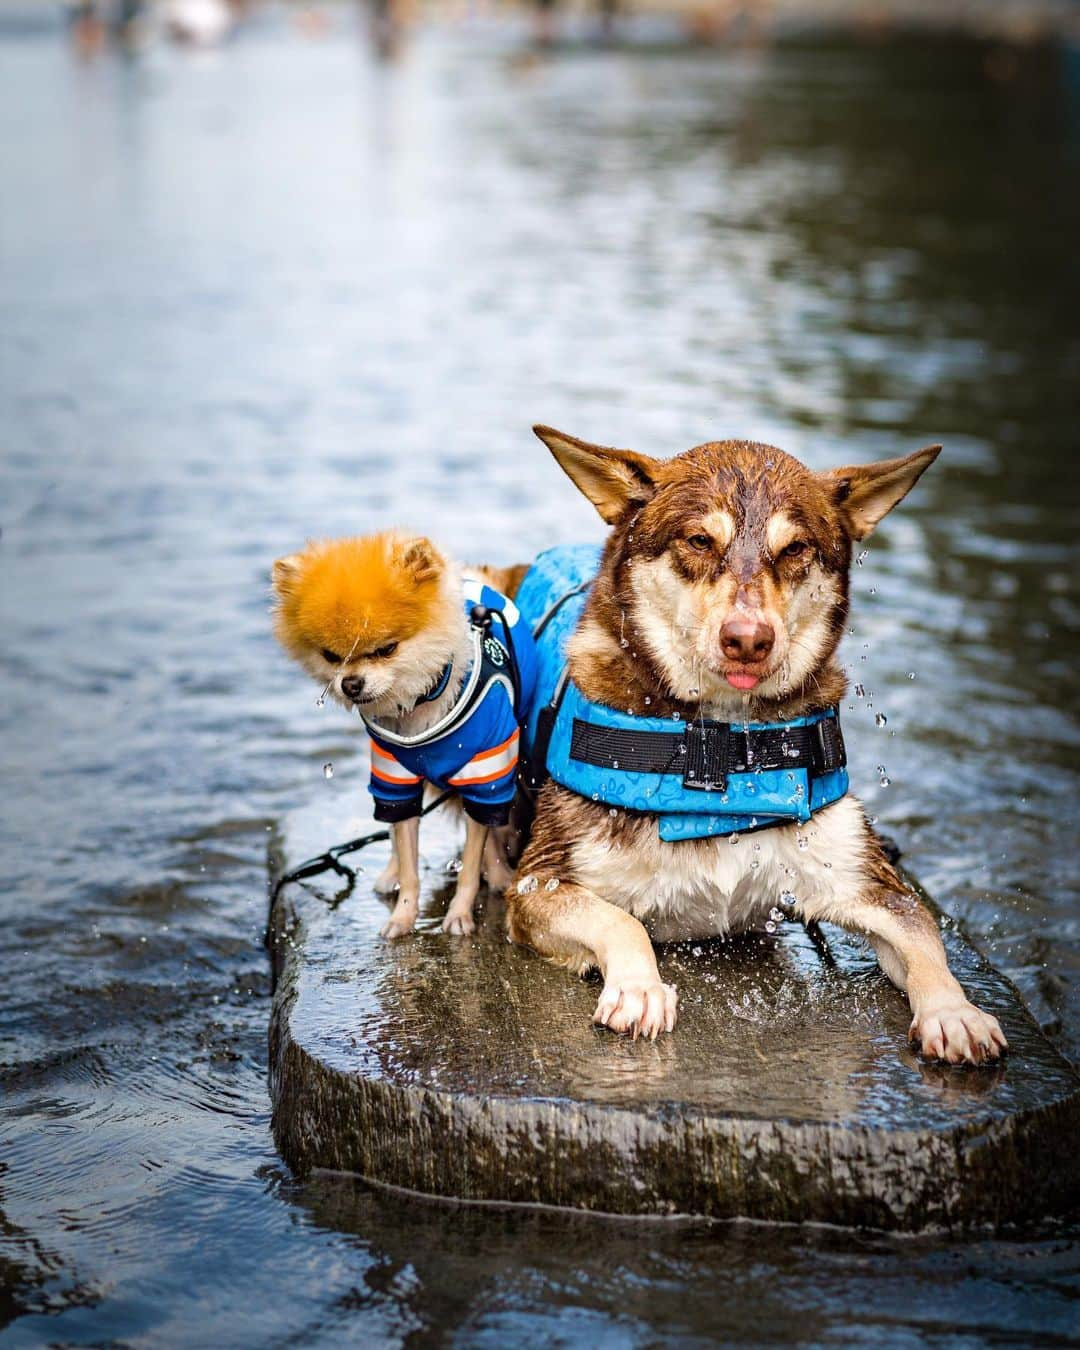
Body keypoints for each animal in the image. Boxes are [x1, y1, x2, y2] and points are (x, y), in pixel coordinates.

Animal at [510, 423, 1009, 1063]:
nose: (748, 640)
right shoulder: (537, 884)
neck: (724, 750)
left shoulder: (865, 882)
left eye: (795, 549)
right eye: (700, 540)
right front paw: (641, 987)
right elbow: (620, 921)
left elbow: (923, 936)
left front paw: (955, 1012)